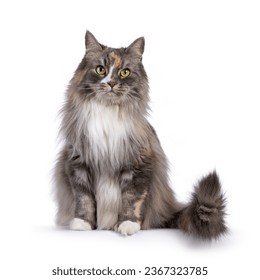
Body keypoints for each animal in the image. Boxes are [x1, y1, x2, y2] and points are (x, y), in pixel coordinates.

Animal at [53, 31, 226, 240]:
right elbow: (84, 198)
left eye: (124, 72)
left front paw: (127, 224)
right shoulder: (78, 162)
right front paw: (83, 224)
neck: (108, 113)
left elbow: (131, 198)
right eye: (101, 70)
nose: (111, 83)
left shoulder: (139, 164)